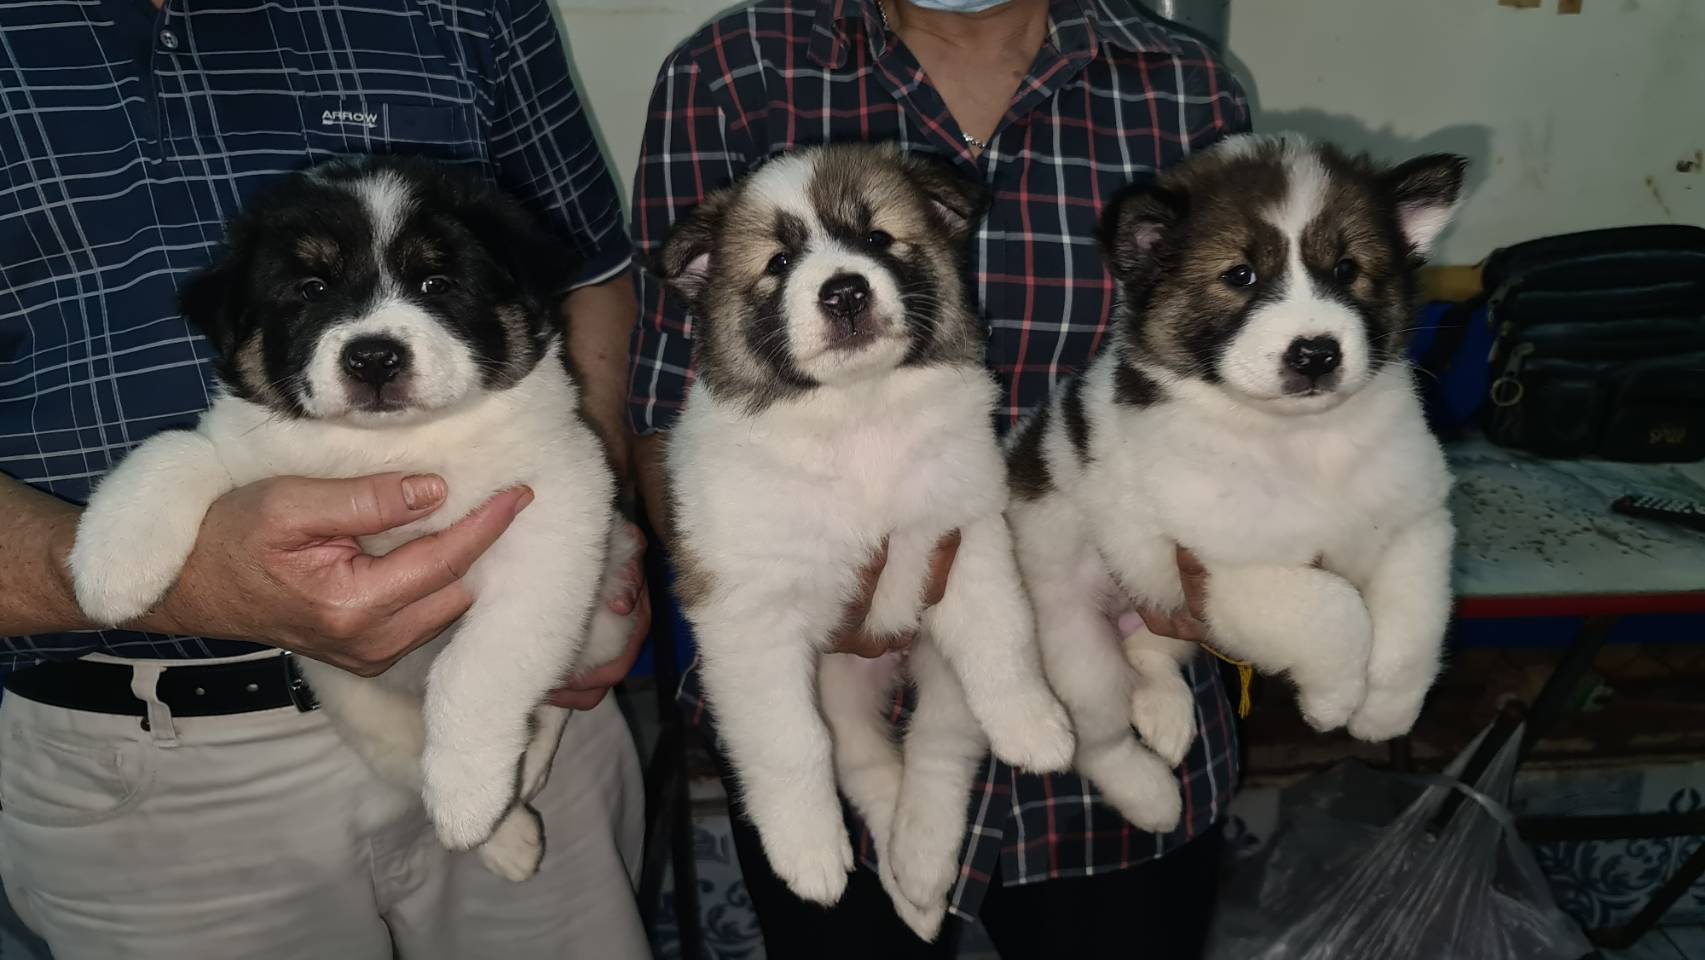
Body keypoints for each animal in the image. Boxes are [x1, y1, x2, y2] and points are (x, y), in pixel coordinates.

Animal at [657, 142, 1075, 939]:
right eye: (778, 262)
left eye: (878, 237)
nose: (845, 292)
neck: (858, 415)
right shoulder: (749, 617)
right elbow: (790, 742)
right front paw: (808, 854)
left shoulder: (966, 538)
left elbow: (1003, 644)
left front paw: (1034, 724)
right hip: (831, 681)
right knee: (857, 757)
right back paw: (907, 880)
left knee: (941, 740)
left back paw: (922, 860)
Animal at [1006, 134, 1466, 830]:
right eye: (1240, 276)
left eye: (1347, 270)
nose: (1316, 352)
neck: (1302, 441)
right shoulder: (1220, 570)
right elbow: (1334, 609)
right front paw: (1333, 699)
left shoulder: (1416, 523)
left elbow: (1414, 625)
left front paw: (1386, 710)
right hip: (1072, 641)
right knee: (1094, 739)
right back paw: (1151, 794)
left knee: (1149, 658)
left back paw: (1166, 715)